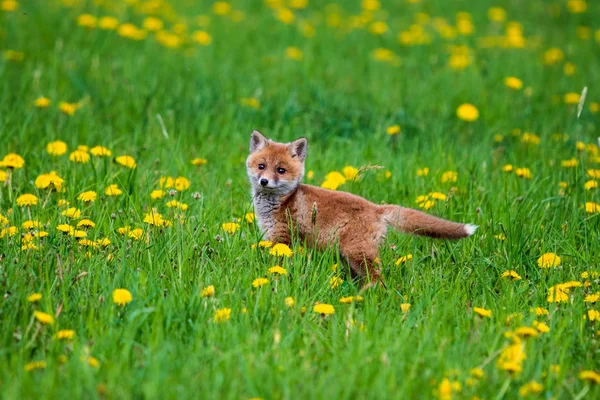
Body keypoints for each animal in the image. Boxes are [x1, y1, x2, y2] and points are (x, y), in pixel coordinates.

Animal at [246, 131, 476, 288]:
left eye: (281, 170)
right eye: (261, 166)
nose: (264, 181)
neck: (283, 200)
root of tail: (377, 209)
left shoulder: (282, 239)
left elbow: (278, 265)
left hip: (357, 254)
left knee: (378, 279)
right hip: (349, 257)